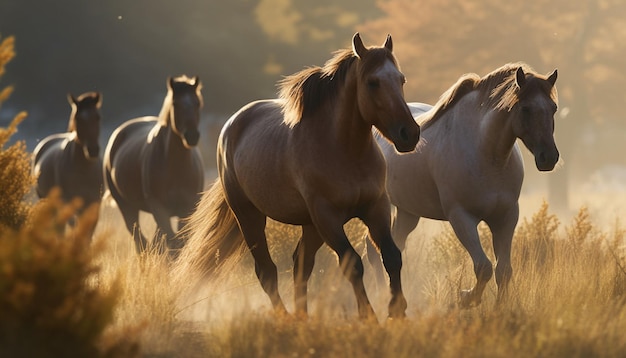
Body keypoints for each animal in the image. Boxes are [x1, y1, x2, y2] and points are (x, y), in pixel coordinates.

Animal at [33, 91, 104, 234]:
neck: (84, 169)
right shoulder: (68, 204)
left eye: (97, 117)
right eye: (78, 119)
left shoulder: (93, 205)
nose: (93, 150)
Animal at [103, 75, 204, 255]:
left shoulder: (187, 209)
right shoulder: (159, 208)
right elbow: (172, 243)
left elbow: (179, 242)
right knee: (140, 241)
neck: (177, 166)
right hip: (126, 207)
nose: (191, 136)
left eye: (197, 103)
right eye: (175, 104)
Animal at [174, 32, 420, 318]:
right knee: (267, 271)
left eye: (401, 79)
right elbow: (353, 264)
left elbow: (392, 256)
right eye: (372, 82)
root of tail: (232, 125)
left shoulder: (375, 207)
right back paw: (286, 316)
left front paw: (397, 312)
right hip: (250, 216)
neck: (345, 151)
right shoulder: (328, 217)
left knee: (300, 263)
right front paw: (369, 316)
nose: (409, 134)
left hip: (310, 225)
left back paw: (302, 315)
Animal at [364, 62, 560, 308]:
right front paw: (466, 298)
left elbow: (503, 271)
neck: (486, 154)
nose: (549, 157)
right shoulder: (462, 218)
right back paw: (381, 294)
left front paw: (499, 308)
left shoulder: (505, 218)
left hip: (408, 212)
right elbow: (484, 268)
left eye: (553, 108)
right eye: (525, 109)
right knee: (374, 250)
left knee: (393, 246)